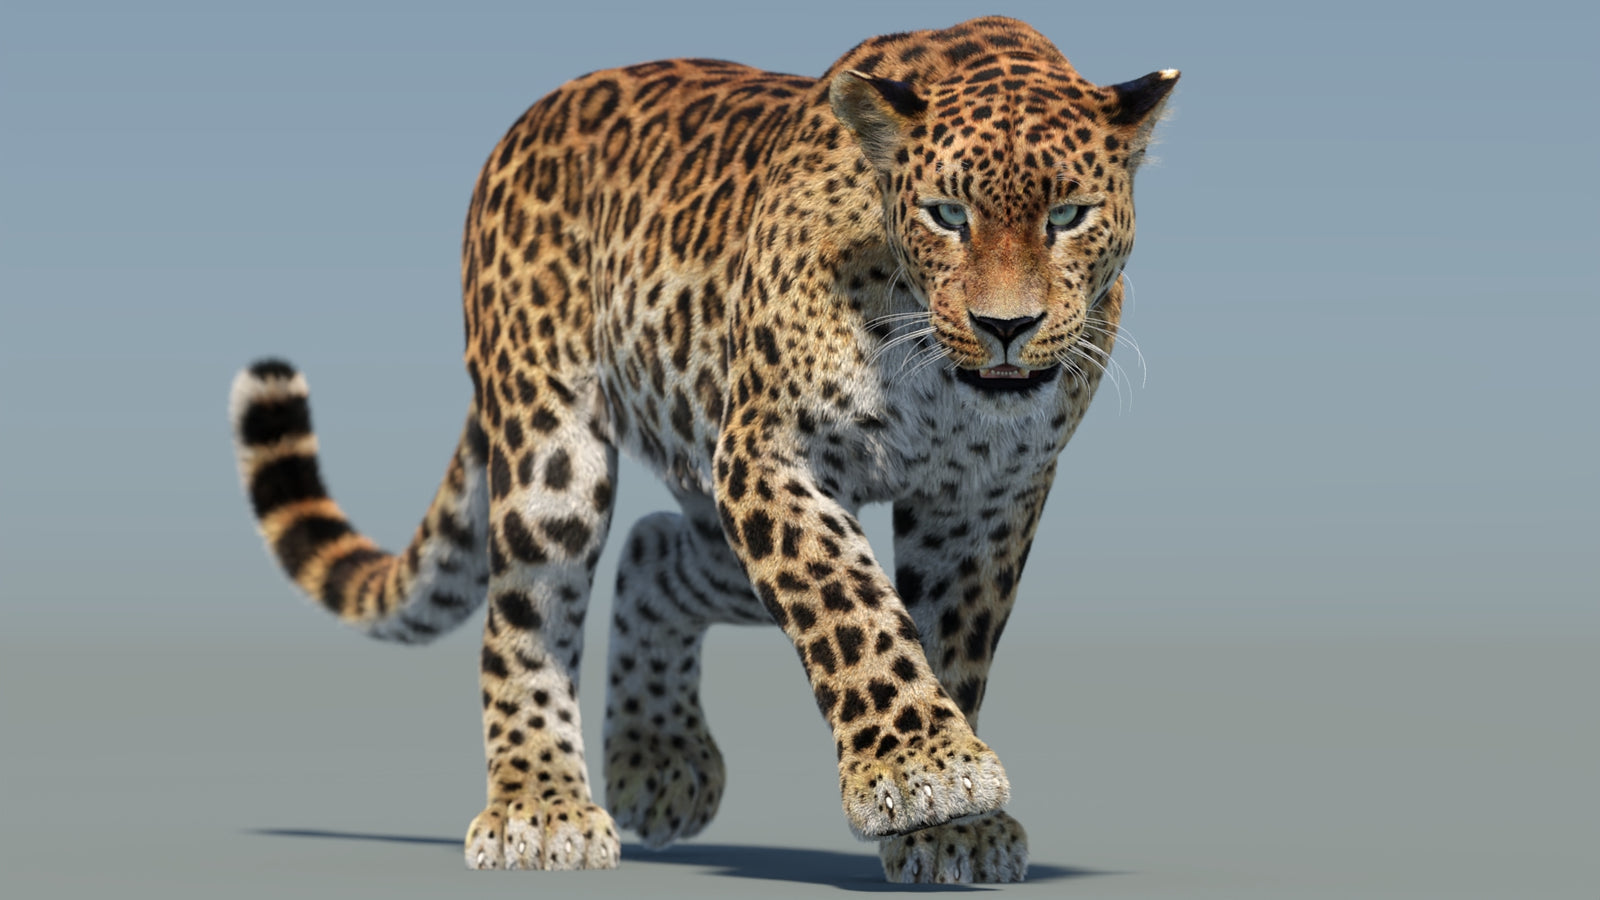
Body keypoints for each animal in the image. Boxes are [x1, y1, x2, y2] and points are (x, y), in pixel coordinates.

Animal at [228, 16, 1176, 884]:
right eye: (948, 215)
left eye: (1068, 216)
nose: (1004, 327)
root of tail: (527, 122)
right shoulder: (767, 456)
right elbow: (850, 608)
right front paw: (923, 772)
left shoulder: (984, 501)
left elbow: (952, 641)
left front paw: (953, 826)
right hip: (555, 450)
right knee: (525, 617)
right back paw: (541, 807)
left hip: (707, 495)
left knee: (654, 550)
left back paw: (658, 763)